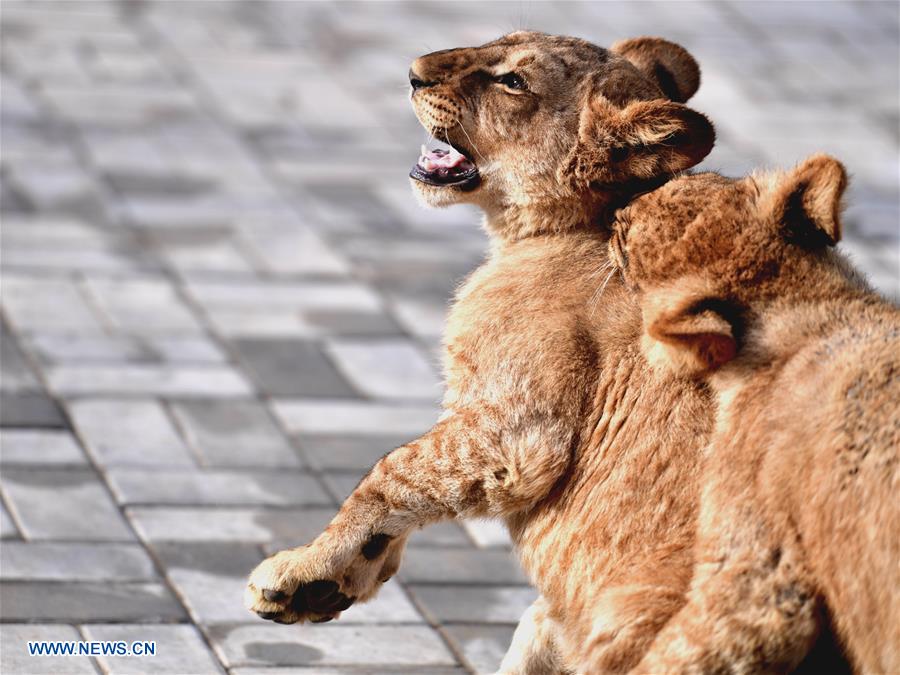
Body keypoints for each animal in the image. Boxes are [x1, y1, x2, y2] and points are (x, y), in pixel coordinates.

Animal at [244, 31, 718, 672]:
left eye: (513, 81)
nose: (413, 72)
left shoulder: (518, 428)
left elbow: (394, 470)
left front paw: (306, 574)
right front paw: (335, 581)